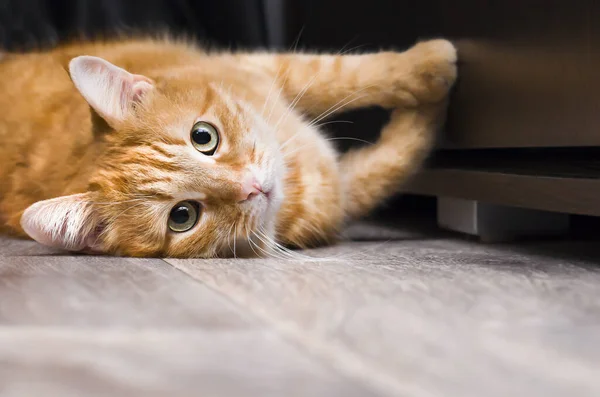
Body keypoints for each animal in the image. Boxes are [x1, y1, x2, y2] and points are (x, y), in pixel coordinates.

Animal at [0, 38, 458, 256]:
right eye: (182, 216)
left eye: (203, 137)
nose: (251, 187)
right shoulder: (340, 194)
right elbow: (394, 161)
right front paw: (433, 110)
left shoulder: (262, 66)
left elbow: (341, 74)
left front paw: (426, 64)